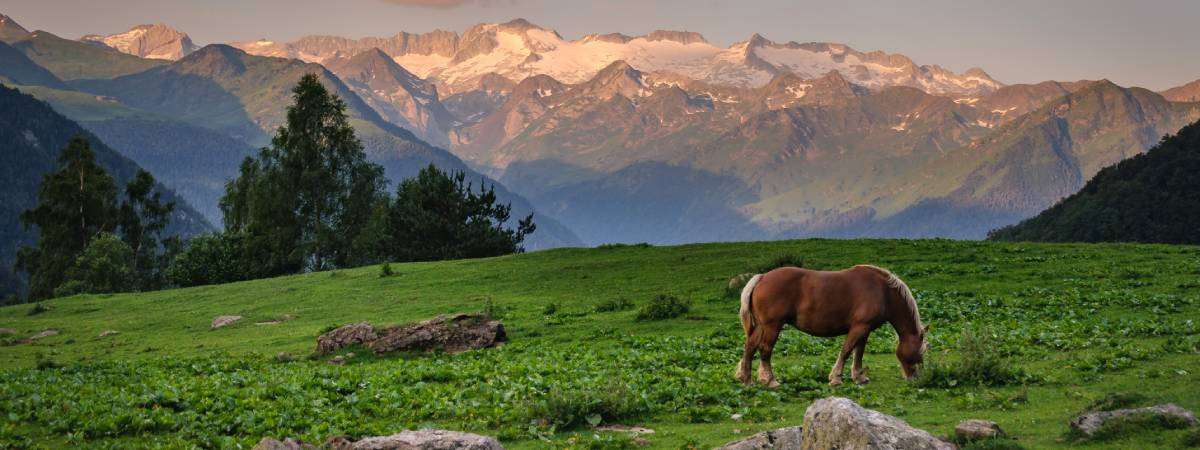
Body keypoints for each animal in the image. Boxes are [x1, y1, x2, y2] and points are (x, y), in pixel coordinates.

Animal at [729, 264, 926, 388]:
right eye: (920, 351)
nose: (915, 378)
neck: (882, 291)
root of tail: (762, 278)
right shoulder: (859, 327)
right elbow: (846, 350)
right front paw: (836, 378)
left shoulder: (865, 329)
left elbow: (858, 352)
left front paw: (859, 377)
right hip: (772, 326)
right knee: (765, 350)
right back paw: (770, 380)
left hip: (761, 326)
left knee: (750, 347)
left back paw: (746, 379)